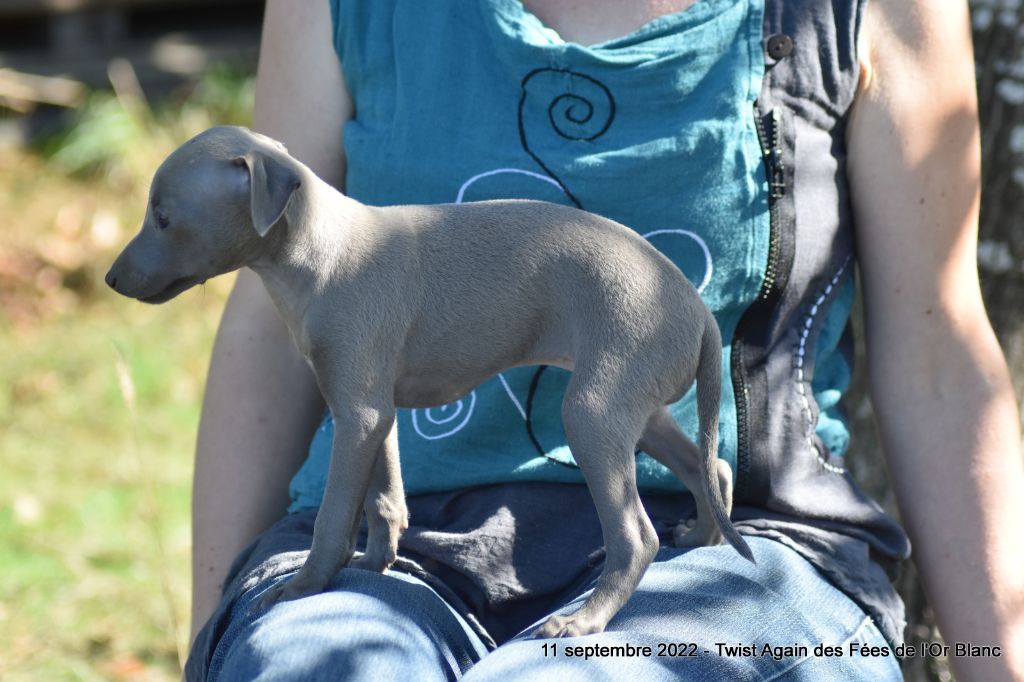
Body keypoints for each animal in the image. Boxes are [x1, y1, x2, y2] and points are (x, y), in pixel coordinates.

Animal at [106, 126, 753, 637]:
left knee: (636, 536)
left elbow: (334, 514)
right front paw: (376, 563)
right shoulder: (374, 407)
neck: (321, 248)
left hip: (594, 411)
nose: (110, 279)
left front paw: (306, 585)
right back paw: (702, 532)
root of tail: (698, 312)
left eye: (163, 218)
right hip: (634, 407)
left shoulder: (357, 412)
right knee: (711, 466)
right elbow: (384, 496)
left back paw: (586, 619)